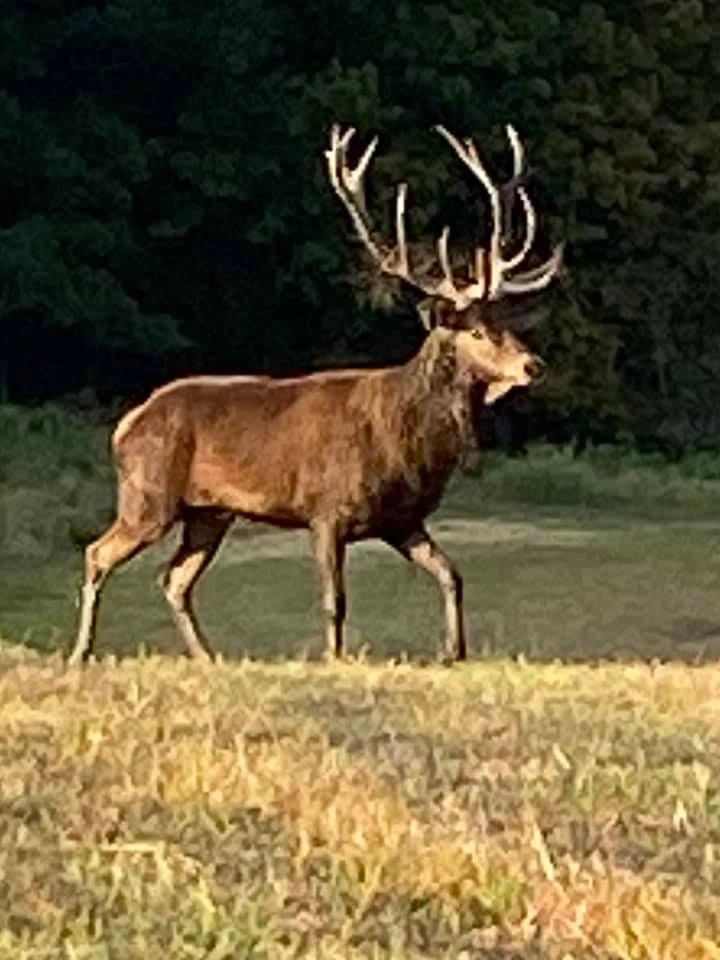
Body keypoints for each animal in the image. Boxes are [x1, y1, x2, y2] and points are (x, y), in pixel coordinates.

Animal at [67, 120, 564, 667]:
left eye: (505, 324)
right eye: (475, 331)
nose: (532, 365)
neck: (407, 442)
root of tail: (126, 425)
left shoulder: (403, 520)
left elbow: (451, 575)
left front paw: (454, 653)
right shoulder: (326, 509)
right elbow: (334, 599)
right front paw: (335, 659)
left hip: (209, 512)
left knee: (174, 578)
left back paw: (206, 656)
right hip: (148, 495)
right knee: (97, 553)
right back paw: (80, 653)